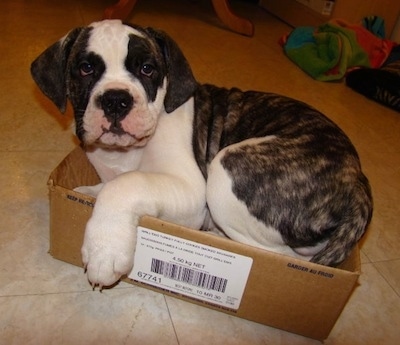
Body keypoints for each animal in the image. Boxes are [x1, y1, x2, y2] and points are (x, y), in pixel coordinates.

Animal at [30, 18, 372, 288]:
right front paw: (89, 192)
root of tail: (357, 179)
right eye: (86, 68)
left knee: (276, 252)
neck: (124, 153)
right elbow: (108, 184)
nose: (116, 100)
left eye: (147, 69)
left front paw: (105, 249)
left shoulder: (190, 190)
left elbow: (126, 184)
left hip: (226, 169)